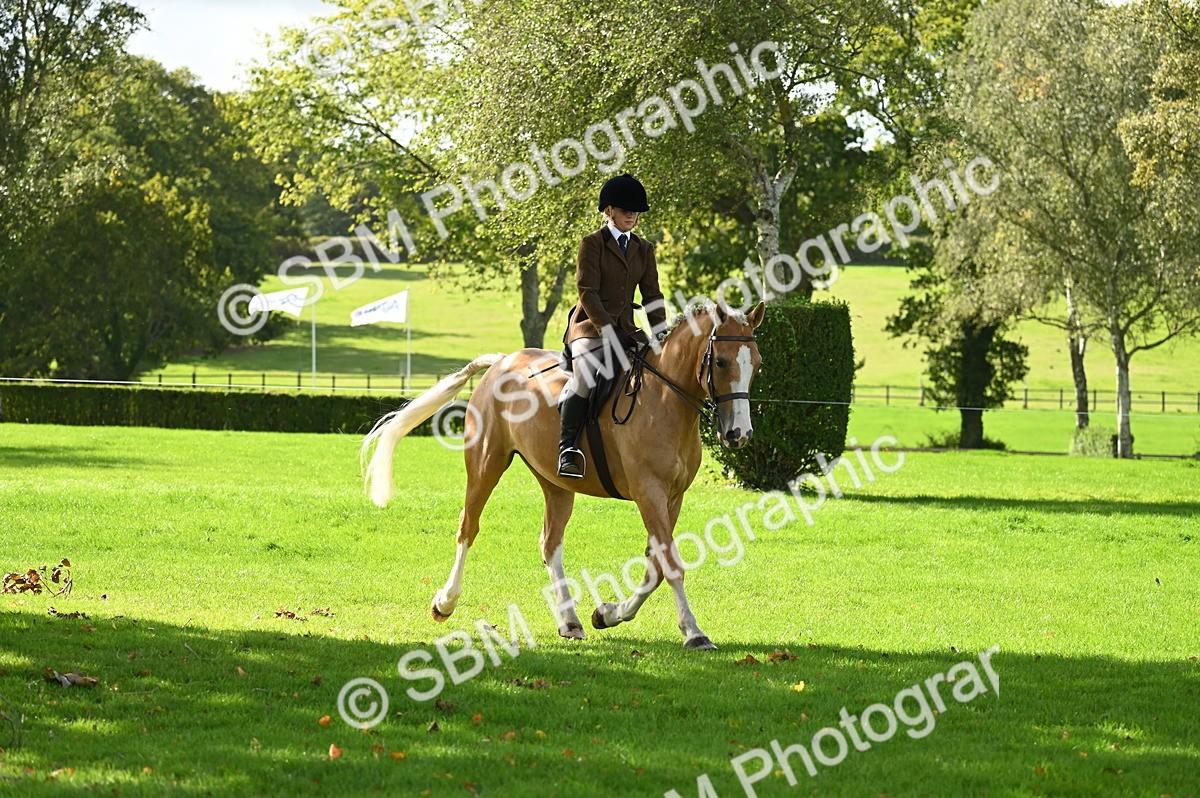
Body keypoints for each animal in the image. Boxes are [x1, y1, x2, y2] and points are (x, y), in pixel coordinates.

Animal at [361, 301, 765, 650]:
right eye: (722, 361)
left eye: (757, 364)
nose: (739, 434)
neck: (665, 400)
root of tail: (501, 362)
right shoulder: (648, 491)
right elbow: (671, 564)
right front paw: (694, 632)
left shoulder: (672, 497)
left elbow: (655, 566)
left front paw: (608, 614)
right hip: (485, 466)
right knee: (468, 528)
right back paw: (445, 602)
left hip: (556, 484)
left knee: (550, 543)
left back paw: (570, 621)